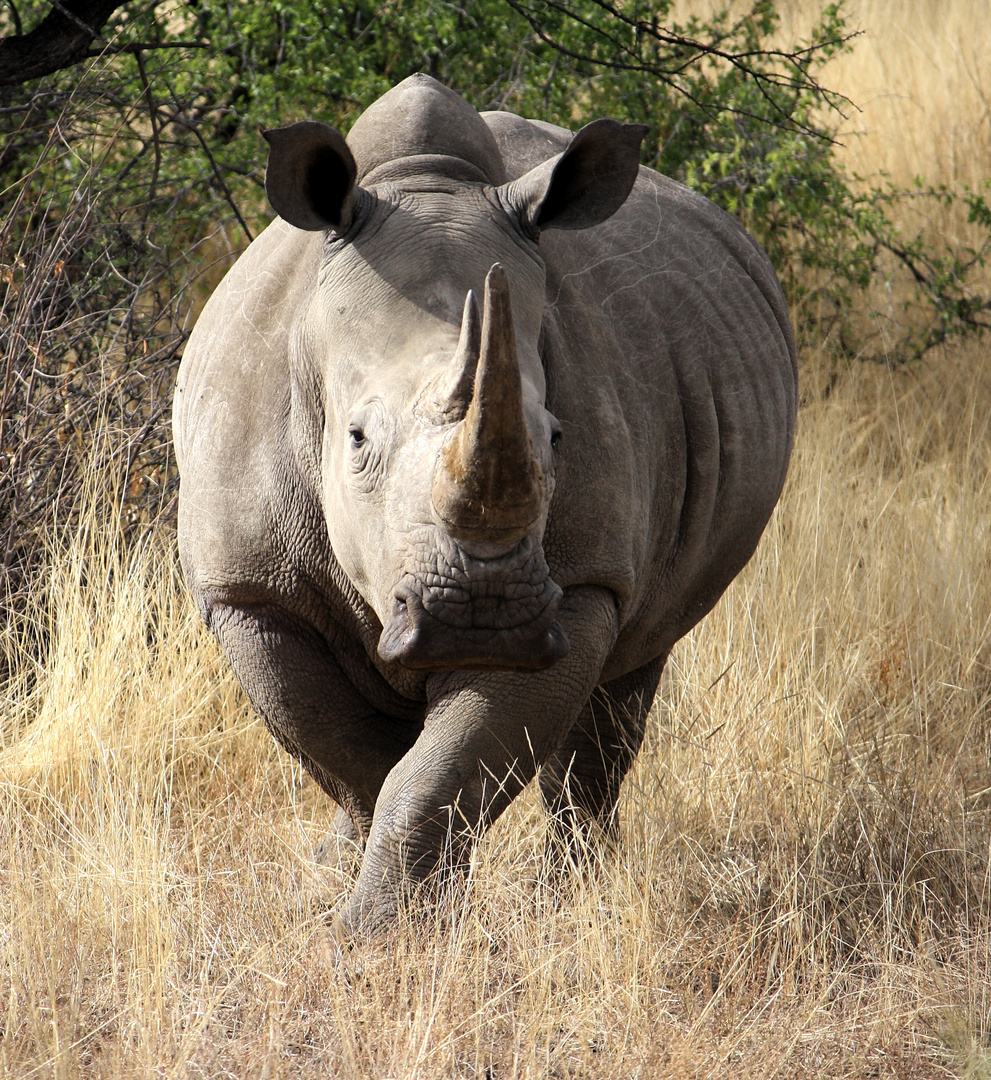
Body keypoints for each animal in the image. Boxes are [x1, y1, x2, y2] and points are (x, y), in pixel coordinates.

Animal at [174, 76, 798, 937]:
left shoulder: (580, 583)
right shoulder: (250, 590)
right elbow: (352, 756)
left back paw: (570, 898)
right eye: (356, 438)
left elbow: (443, 769)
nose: (482, 617)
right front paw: (365, 912)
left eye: (556, 437)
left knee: (623, 692)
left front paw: (386, 930)